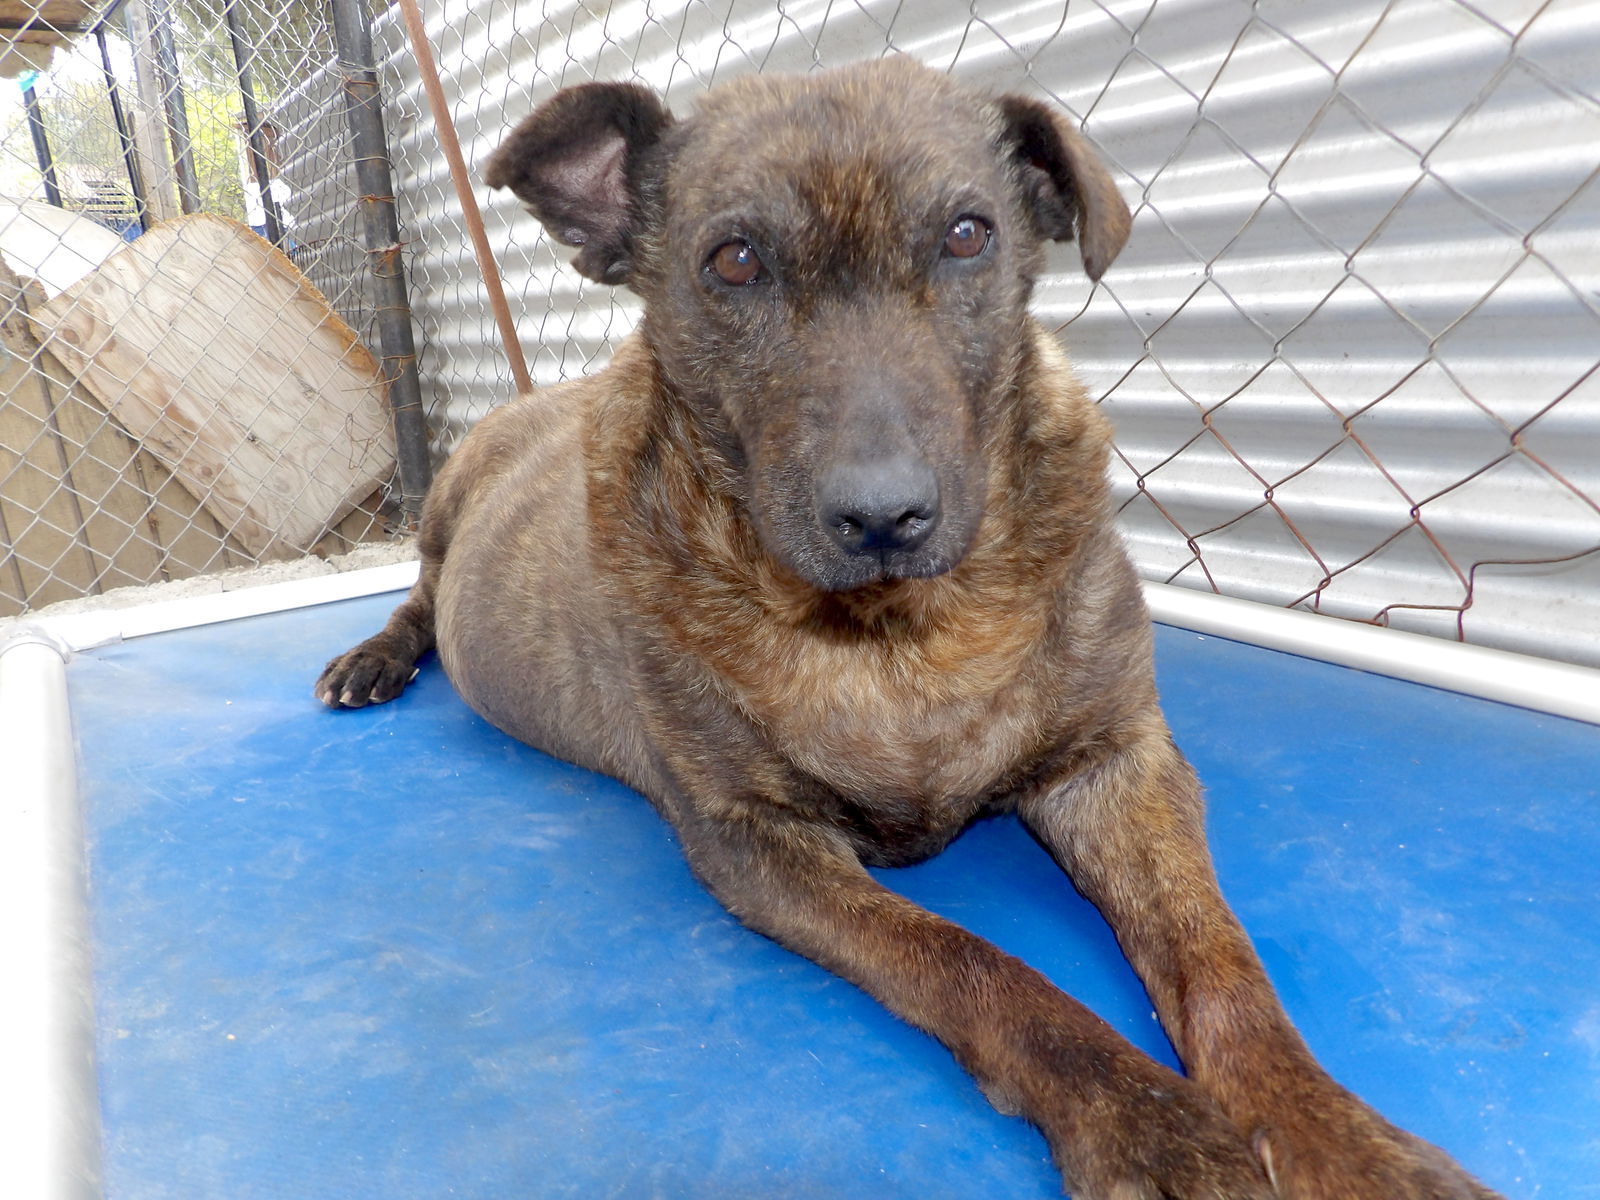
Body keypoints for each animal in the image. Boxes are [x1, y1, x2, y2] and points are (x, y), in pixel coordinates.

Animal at [321, 54, 1497, 1200]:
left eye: (969, 235)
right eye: (733, 261)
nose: (881, 514)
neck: (901, 632)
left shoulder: (1117, 763)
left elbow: (1217, 956)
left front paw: (1339, 1138)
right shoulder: (756, 840)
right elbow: (972, 966)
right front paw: (1147, 1123)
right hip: (446, 506)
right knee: (420, 593)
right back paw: (372, 661)